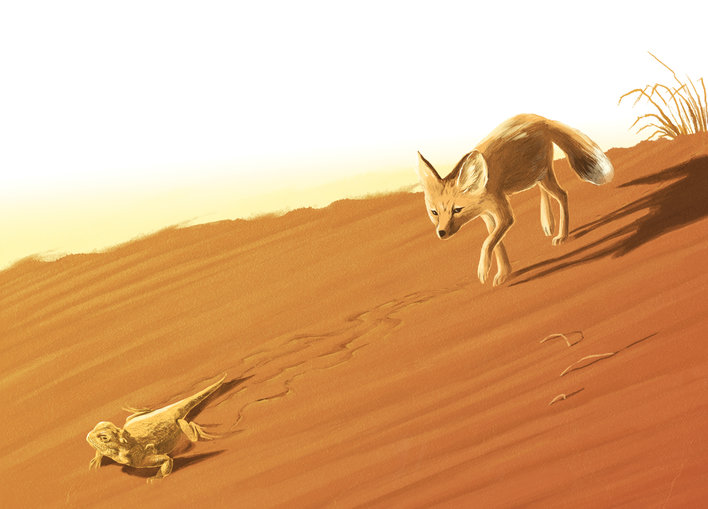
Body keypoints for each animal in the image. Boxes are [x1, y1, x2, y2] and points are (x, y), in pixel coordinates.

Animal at [416, 113, 613, 286]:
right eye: (434, 212)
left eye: (457, 210)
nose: (441, 233)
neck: (486, 184)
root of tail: (540, 118)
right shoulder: (487, 216)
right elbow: (496, 245)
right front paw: (504, 273)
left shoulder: (504, 215)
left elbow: (487, 243)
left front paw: (484, 269)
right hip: (534, 178)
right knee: (545, 193)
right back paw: (547, 223)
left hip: (538, 175)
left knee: (562, 194)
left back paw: (562, 235)